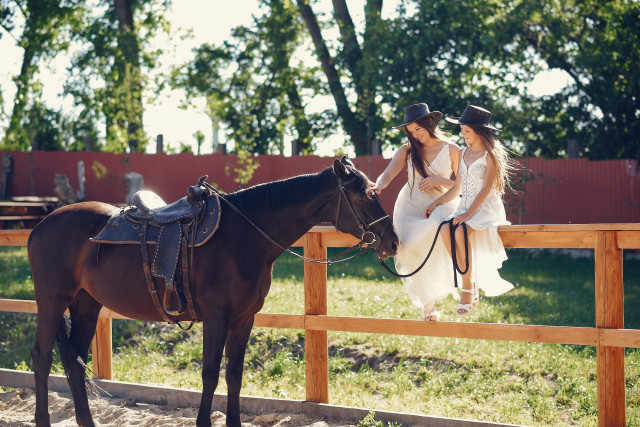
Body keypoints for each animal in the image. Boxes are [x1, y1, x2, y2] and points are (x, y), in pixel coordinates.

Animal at [27, 157, 399, 427]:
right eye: (362, 195)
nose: (392, 241)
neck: (243, 237)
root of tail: (41, 225)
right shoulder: (216, 318)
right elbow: (209, 374)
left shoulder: (244, 319)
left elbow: (233, 374)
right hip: (51, 302)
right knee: (42, 358)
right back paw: (42, 419)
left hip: (86, 305)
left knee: (74, 361)